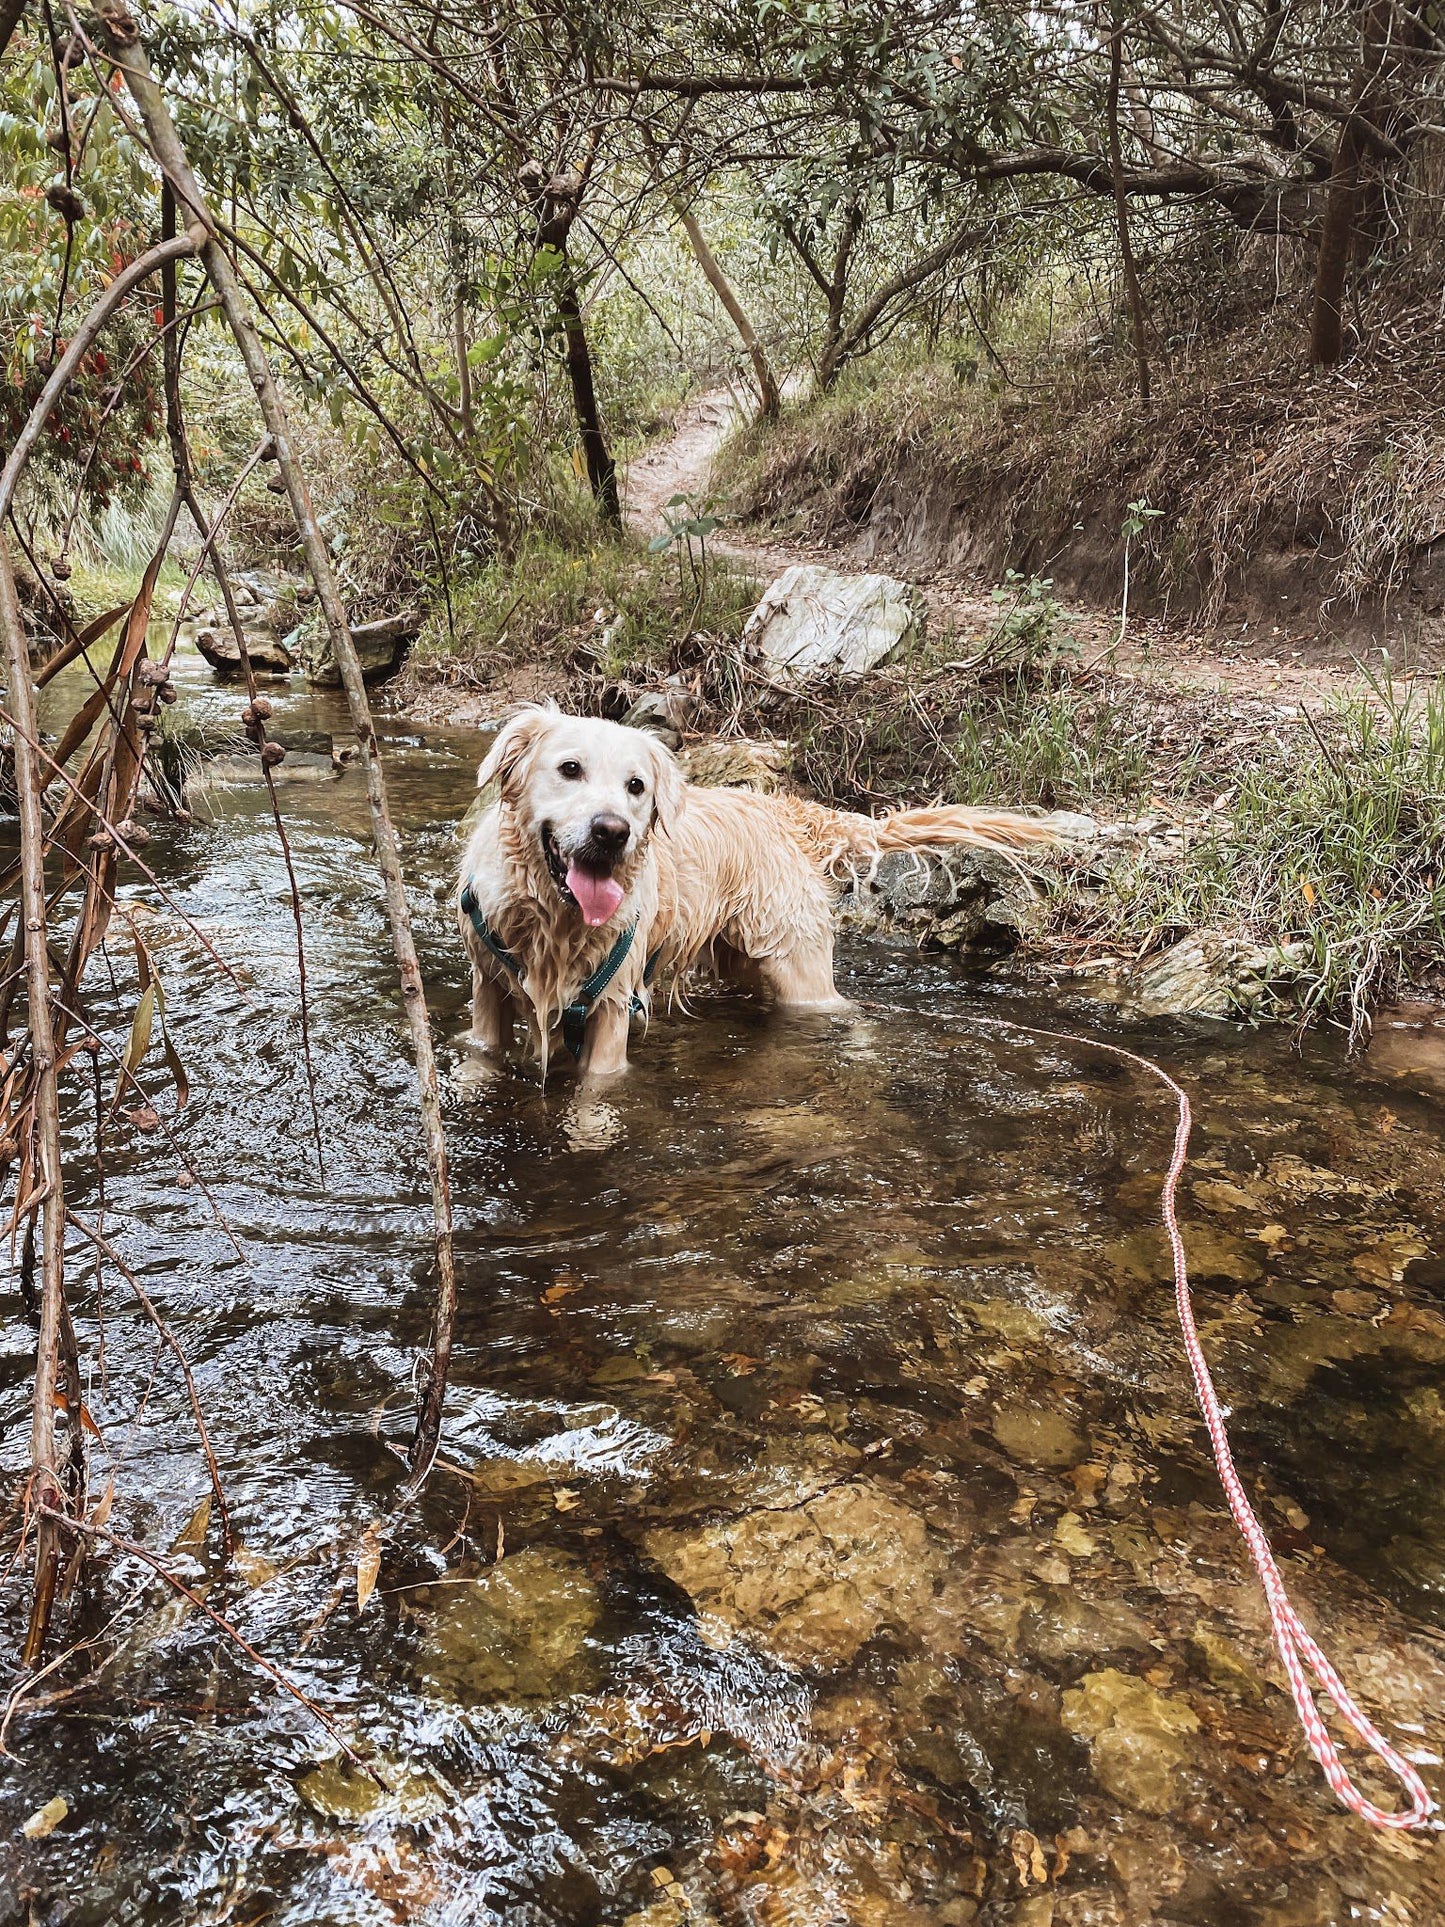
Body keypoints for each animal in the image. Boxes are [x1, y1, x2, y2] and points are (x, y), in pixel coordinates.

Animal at [458, 705, 1055, 1079]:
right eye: (569, 768)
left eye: (636, 786)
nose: (612, 832)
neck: (555, 920)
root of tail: (788, 813)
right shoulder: (488, 988)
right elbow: (481, 1056)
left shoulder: (609, 1007)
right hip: (741, 957)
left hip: (797, 963)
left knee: (845, 1010)